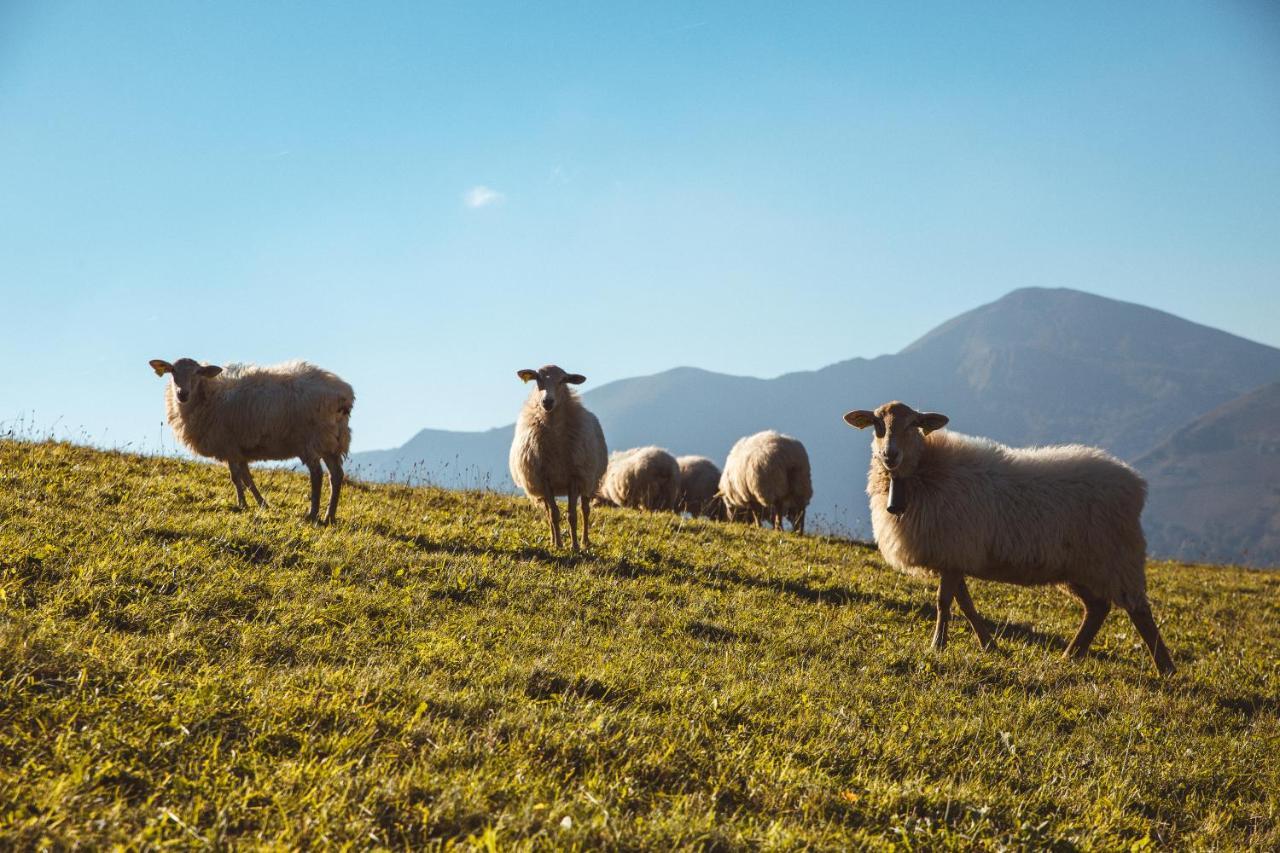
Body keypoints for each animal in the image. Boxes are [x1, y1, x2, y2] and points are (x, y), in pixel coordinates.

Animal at [149, 356, 355, 522]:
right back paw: (329, 516)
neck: (208, 395)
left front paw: (242, 504)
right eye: (172, 371)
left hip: (311, 440)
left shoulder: (228, 444)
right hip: (332, 441)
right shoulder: (239, 449)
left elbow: (235, 477)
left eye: (198, 372)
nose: (182, 393)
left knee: (317, 475)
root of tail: (343, 396)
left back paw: (313, 514)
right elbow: (247, 477)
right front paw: (262, 503)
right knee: (336, 475)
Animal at [506, 363, 606, 550]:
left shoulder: (574, 477)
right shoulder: (544, 478)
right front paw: (559, 545)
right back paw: (553, 541)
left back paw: (585, 541)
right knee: (548, 512)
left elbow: (572, 515)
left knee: (585, 510)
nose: (547, 401)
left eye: (563, 380)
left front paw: (575, 546)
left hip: (589, 479)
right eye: (537, 378)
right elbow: (553, 514)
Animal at [844, 399, 1172, 671]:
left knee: (1140, 611)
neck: (923, 472)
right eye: (877, 424)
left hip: (1117, 557)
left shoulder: (953, 549)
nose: (890, 455)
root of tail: (1135, 483)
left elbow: (943, 602)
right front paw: (989, 645)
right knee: (1098, 608)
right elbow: (965, 604)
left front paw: (938, 645)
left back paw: (1165, 667)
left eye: (913, 423)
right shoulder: (955, 555)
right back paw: (1070, 656)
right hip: (1079, 566)